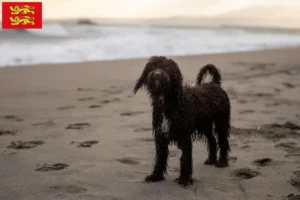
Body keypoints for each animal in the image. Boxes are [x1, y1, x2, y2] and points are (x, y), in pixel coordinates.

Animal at [133, 55, 230, 187]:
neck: (168, 103)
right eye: (153, 66)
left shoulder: (184, 137)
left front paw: (184, 179)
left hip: (221, 121)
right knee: (212, 140)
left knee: (223, 140)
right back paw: (211, 160)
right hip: (205, 125)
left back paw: (222, 162)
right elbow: (160, 158)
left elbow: (185, 158)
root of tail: (215, 84)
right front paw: (156, 176)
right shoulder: (160, 135)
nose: (157, 74)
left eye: (167, 67)